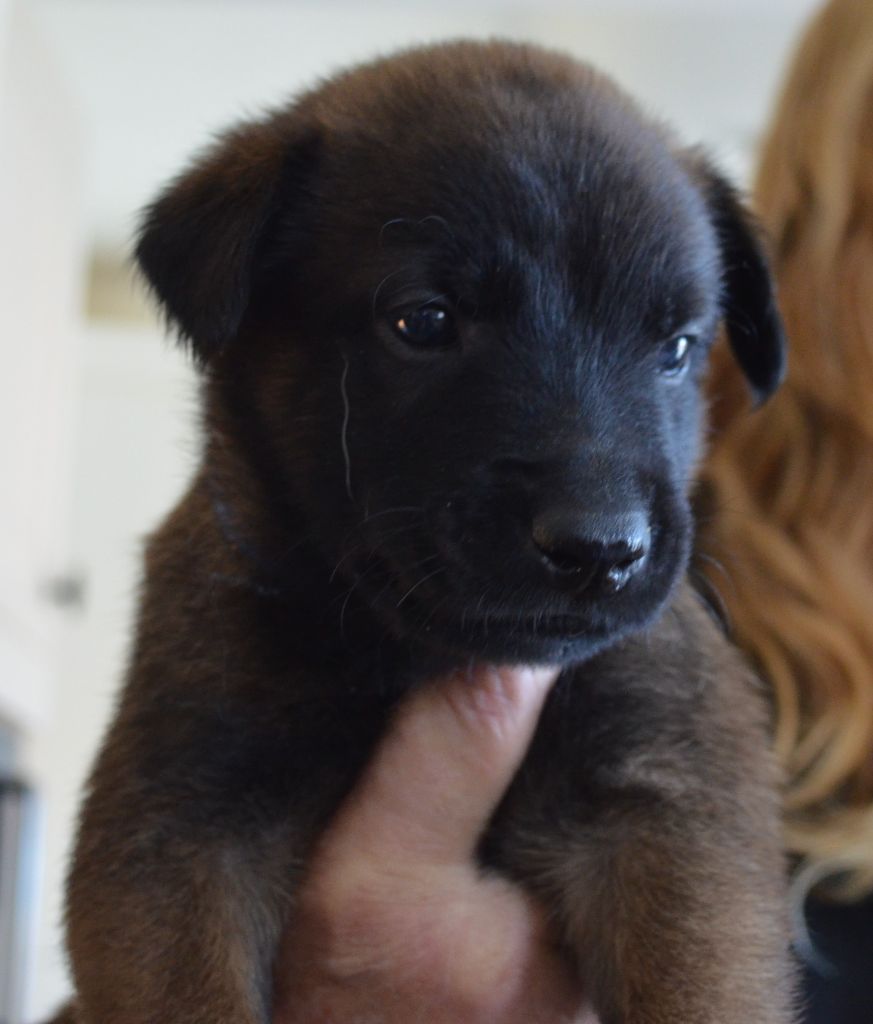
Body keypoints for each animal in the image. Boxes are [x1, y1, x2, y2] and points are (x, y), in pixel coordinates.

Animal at [51, 39, 794, 1024]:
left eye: (677, 347)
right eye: (424, 321)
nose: (600, 548)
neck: (407, 650)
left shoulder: (670, 797)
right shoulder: (178, 822)